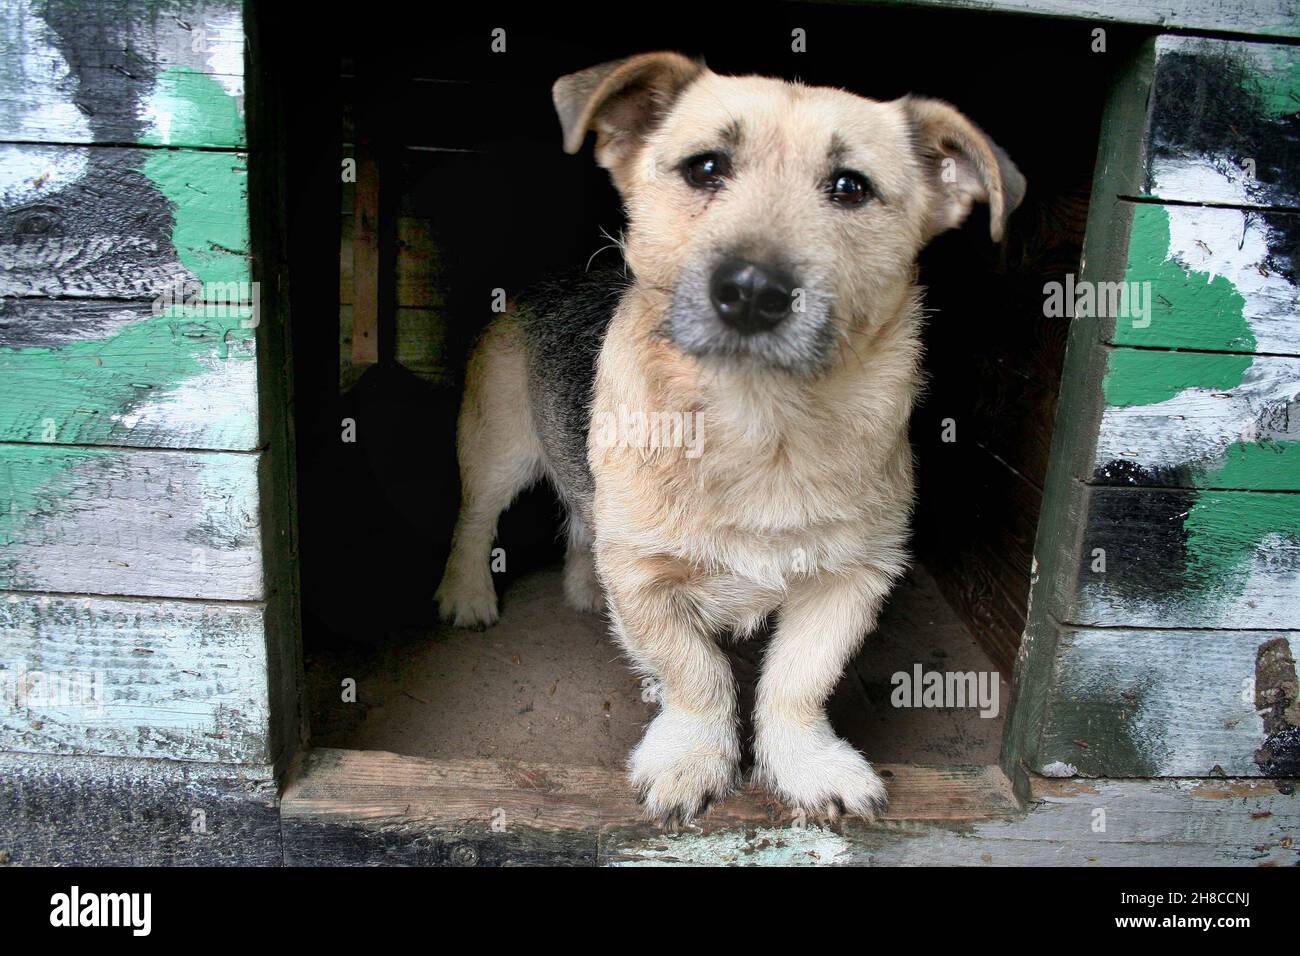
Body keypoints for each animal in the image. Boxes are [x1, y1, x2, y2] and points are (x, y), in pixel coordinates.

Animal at [436, 52, 1024, 827]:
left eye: (850, 187)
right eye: (706, 167)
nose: (751, 290)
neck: (759, 427)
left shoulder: (850, 580)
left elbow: (798, 681)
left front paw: (805, 762)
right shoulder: (648, 578)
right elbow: (697, 672)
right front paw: (692, 757)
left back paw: (585, 589)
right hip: (497, 450)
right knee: (475, 520)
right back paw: (466, 595)